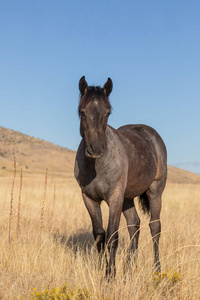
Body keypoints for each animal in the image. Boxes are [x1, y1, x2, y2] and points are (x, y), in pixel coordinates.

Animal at [74, 75, 166, 276]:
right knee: (134, 224)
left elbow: (112, 236)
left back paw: (157, 270)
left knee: (155, 227)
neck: (97, 167)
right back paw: (130, 268)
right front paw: (101, 269)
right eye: (82, 112)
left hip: (155, 191)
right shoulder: (89, 199)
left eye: (107, 112)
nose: (96, 149)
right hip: (128, 198)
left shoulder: (114, 198)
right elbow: (99, 234)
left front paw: (110, 274)